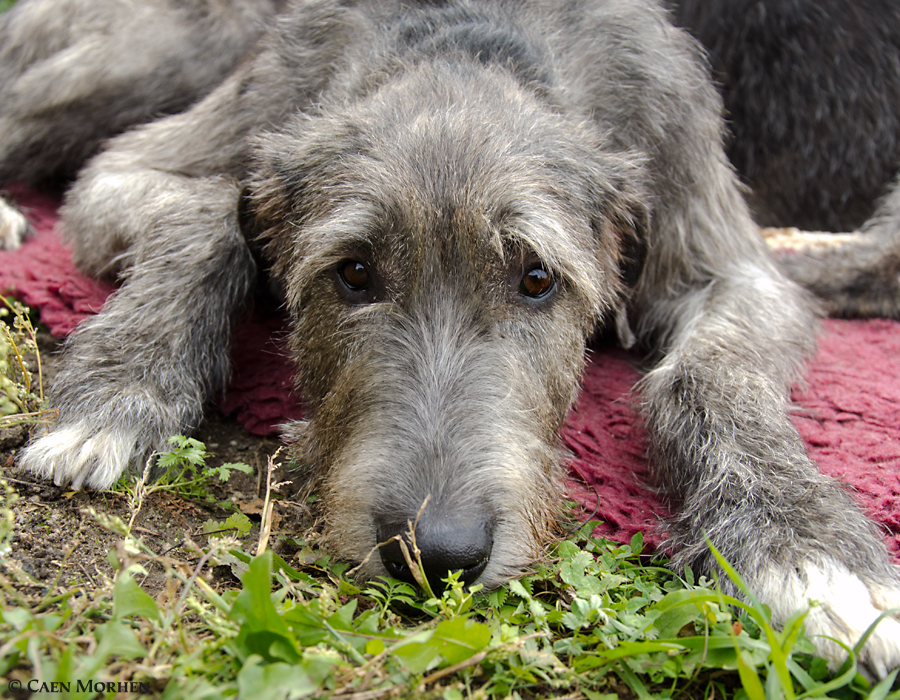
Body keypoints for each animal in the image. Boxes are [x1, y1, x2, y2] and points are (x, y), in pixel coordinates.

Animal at [5, 0, 900, 680]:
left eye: (536, 278)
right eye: (353, 273)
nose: (437, 554)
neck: (474, 46)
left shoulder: (723, 246)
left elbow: (709, 369)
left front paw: (803, 543)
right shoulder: (175, 153)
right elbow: (199, 210)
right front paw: (124, 387)